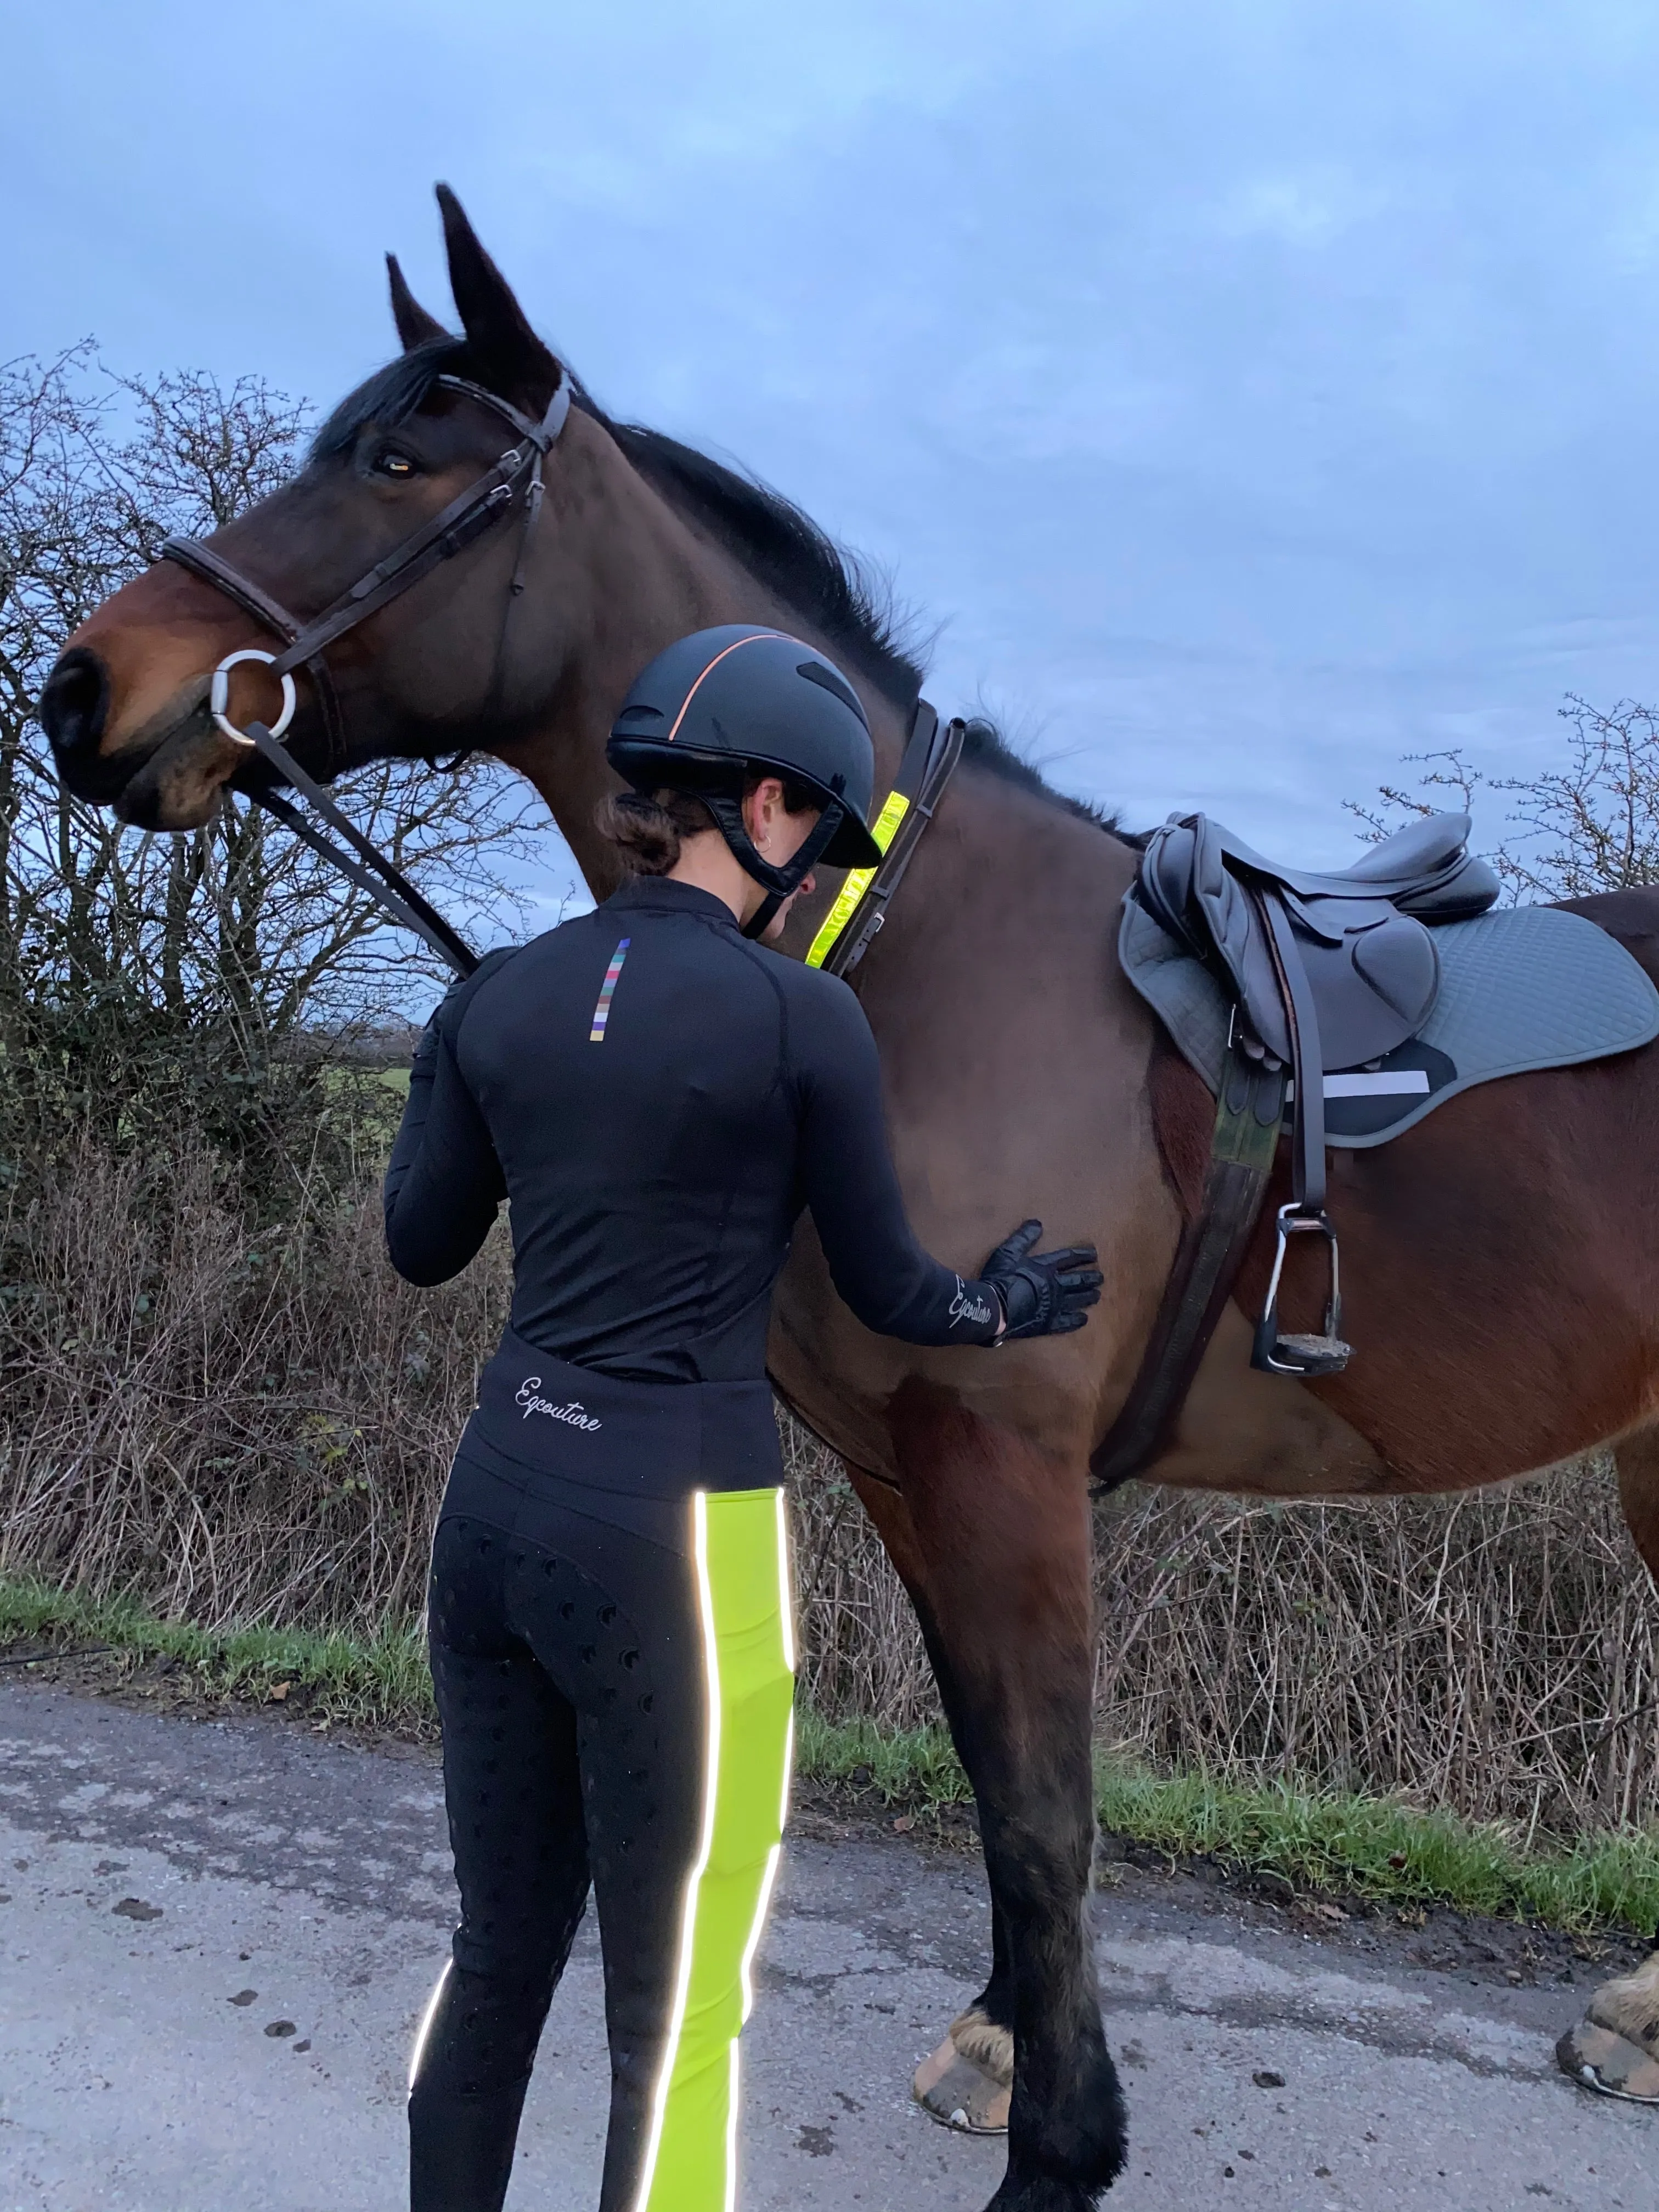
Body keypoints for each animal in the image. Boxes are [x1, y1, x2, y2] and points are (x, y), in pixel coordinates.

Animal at [40, 188, 1659, 2203]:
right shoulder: (909, 1467)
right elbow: (990, 1776)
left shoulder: (1001, 1472)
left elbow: (1045, 1810)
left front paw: (1060, 2145)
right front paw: (1000, 2036)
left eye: (400, 463)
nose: (84, 692)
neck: (908, 946)